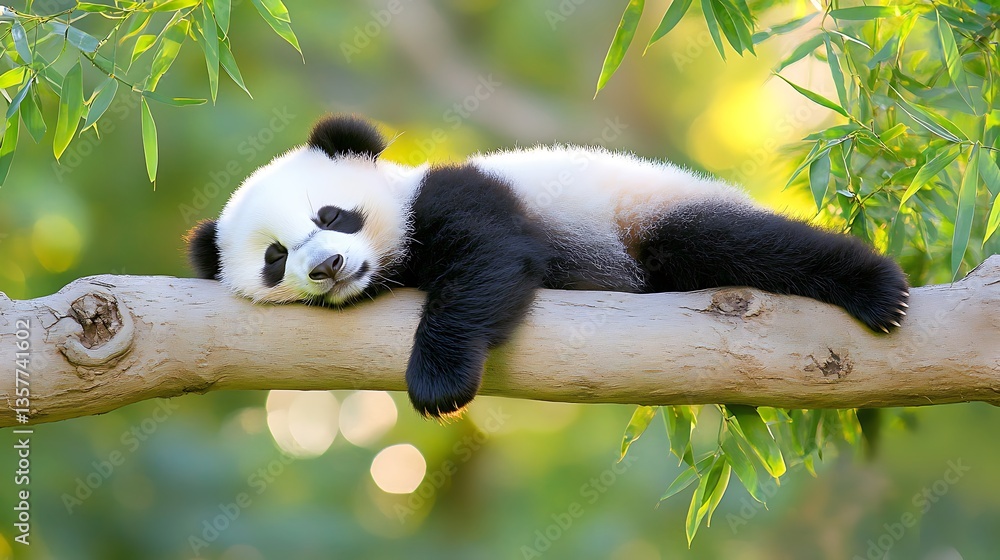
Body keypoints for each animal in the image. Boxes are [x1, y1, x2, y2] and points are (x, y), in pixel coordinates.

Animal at [187, 114, 909, 418]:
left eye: (332, 215)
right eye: (275, 258)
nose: (330, 265)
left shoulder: (459, 195)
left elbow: (488, 263)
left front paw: (438, 382)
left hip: (646, 213)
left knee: (740, 242)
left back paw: (878, 289)